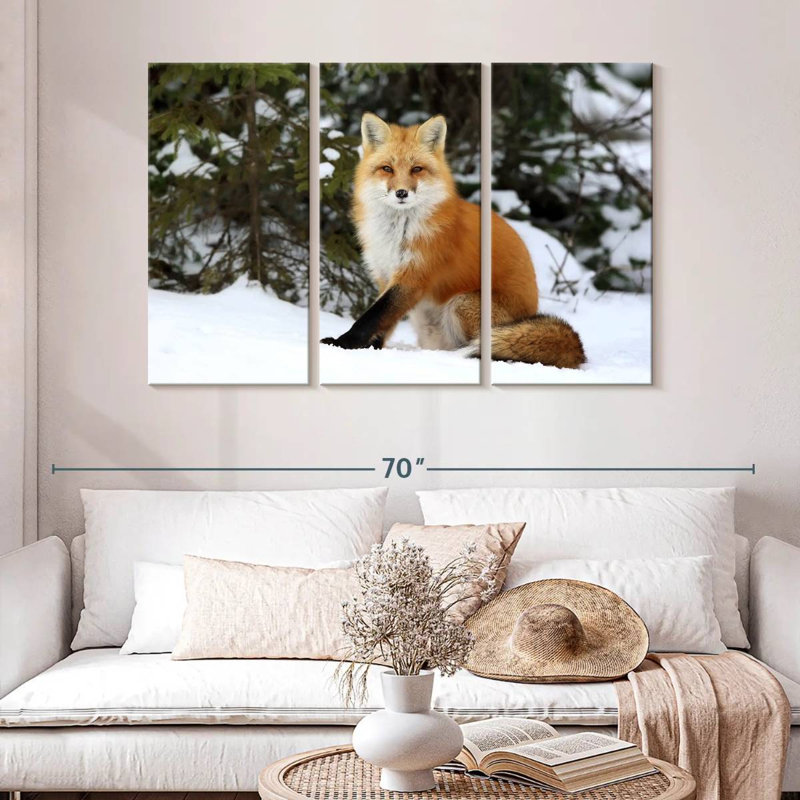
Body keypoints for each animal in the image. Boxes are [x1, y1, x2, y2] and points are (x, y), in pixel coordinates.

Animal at [320, 112, 586, 369]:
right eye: (387, 168)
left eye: (417, 169)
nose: (402, 193)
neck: (398, 232)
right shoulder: (386, 275)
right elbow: (384, 321)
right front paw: (369, 349)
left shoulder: (414, 275)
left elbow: (372, 317)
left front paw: (342, 343)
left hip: (463, 302)